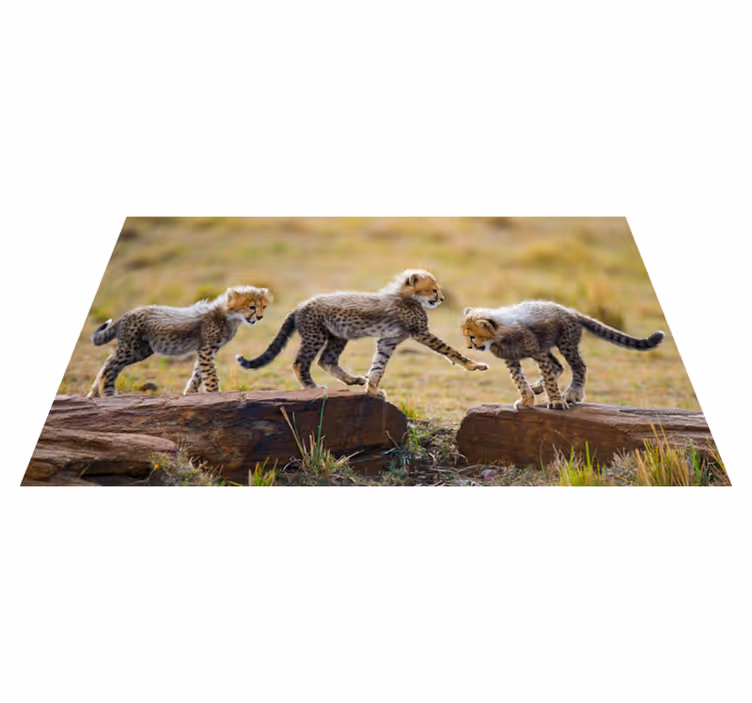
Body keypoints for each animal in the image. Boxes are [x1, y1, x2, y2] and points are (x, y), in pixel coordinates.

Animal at [87, 286, 271, 397]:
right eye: (252, 307)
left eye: (263, 307)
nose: (260, 317)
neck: (230, 316)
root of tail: (127, 314)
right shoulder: (206, 348)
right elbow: (210, 373)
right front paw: (214, 393)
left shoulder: (209, 349)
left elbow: (198, 373)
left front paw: (189, 392)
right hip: (133, 348)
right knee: (110, 364)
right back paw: (107, 393)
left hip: (141, 350)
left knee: (108, 361)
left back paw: (94, 395)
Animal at [236, 269, 488, 399]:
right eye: (434, 290)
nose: (442, 299)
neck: (407, 297)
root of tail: (300, 305)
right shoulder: (421, 333)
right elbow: (450, 350)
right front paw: (474, 365)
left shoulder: (388, 340)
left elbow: (378, 366)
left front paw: (373, 389)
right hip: (315, 335)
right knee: (301, 363)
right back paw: (312, 388)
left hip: (338, 336)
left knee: (326, 360)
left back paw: (353, 380)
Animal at [461, 300, 665, 410]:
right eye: (465, 336)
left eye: (472, 336)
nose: (469, 347)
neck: (499, 334)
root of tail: (570, 310)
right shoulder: (513, 359)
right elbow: (520, 381)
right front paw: (527, 399)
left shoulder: (537, 352)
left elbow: (549, 378)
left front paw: (556, 401)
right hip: (549, 346)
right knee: (558, 366)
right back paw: (538, 388)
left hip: (566, 344)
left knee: (578, 366)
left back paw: (573, 393)